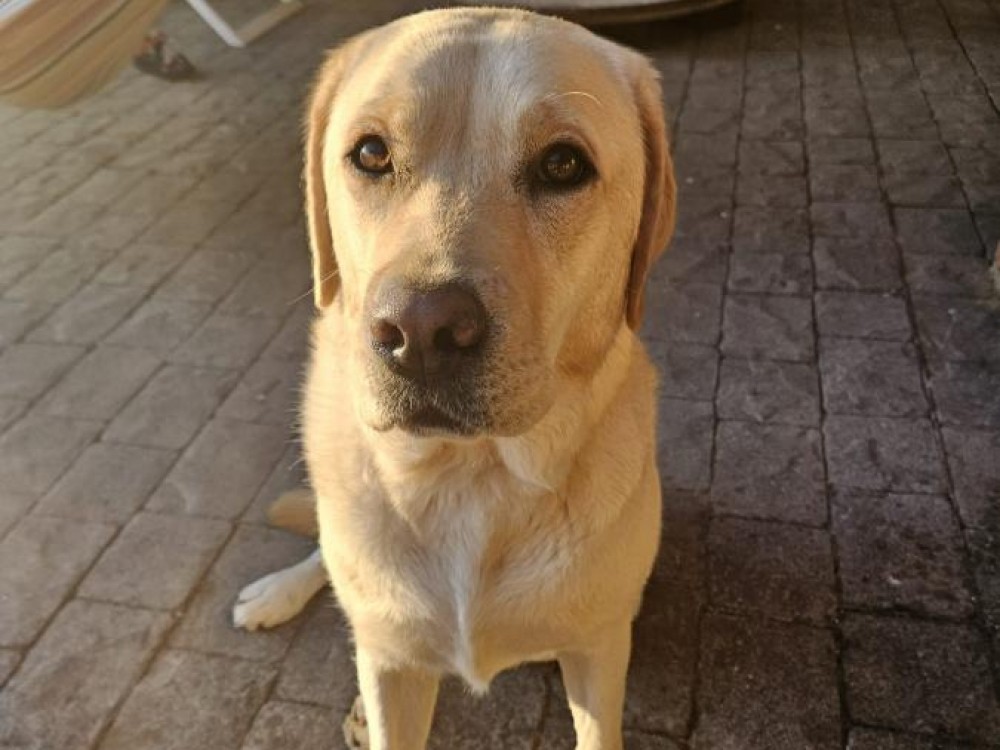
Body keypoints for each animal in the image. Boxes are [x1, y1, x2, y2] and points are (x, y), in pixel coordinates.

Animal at [233, 8, 676, 748]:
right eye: (371, 154)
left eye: (563, 164)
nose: (421, 333)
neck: (470, 478)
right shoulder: (392, 672)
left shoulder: (599, 649)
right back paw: (278, 595)